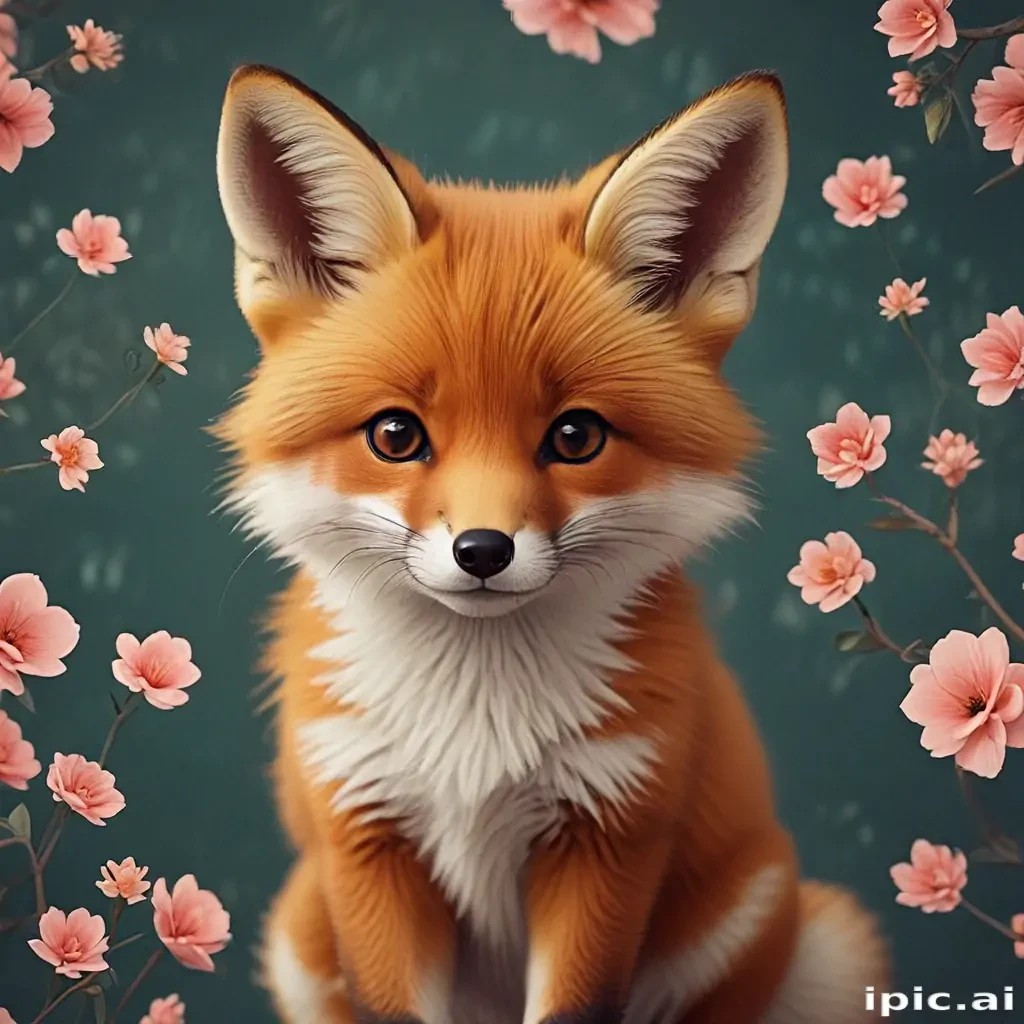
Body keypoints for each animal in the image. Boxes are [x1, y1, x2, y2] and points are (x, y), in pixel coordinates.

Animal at [213, 63, 888, 1024]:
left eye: (575, 437)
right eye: (395, 435)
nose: (483, 551)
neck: (475, 733)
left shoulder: (610, 834)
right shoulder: (365, 838)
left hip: (802, 934)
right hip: (297, 933)